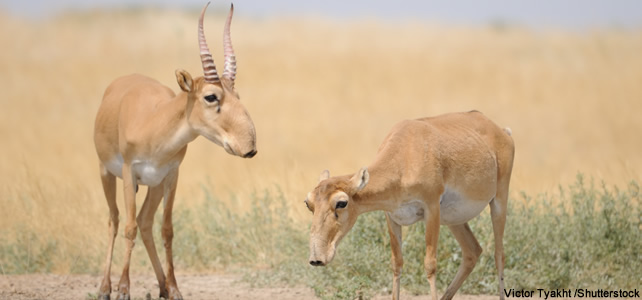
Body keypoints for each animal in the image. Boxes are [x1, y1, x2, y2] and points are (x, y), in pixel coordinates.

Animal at [94, 2, 256, 300]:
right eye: (211, 96)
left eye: (237, 96)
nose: (249, 147)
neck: (154, 123)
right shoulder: (129, 172)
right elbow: (128, 228)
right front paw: (123, 289)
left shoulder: (171, 175)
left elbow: (167, 229)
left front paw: (175, 288)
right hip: (106, 173)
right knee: (115, 220)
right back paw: (105, 288)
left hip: (154, 186)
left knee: (146, 222)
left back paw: (162, 287)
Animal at [304, 111, 516, 300]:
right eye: (308, 203)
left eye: (341, 202)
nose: (316, 258)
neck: (405, 154)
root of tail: (502, 131)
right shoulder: (392, 216)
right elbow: (396, 263)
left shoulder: (431, 208)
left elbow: (430, 264)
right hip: (454, 220)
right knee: (472, 251)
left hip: (498, 201)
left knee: (499, 255)